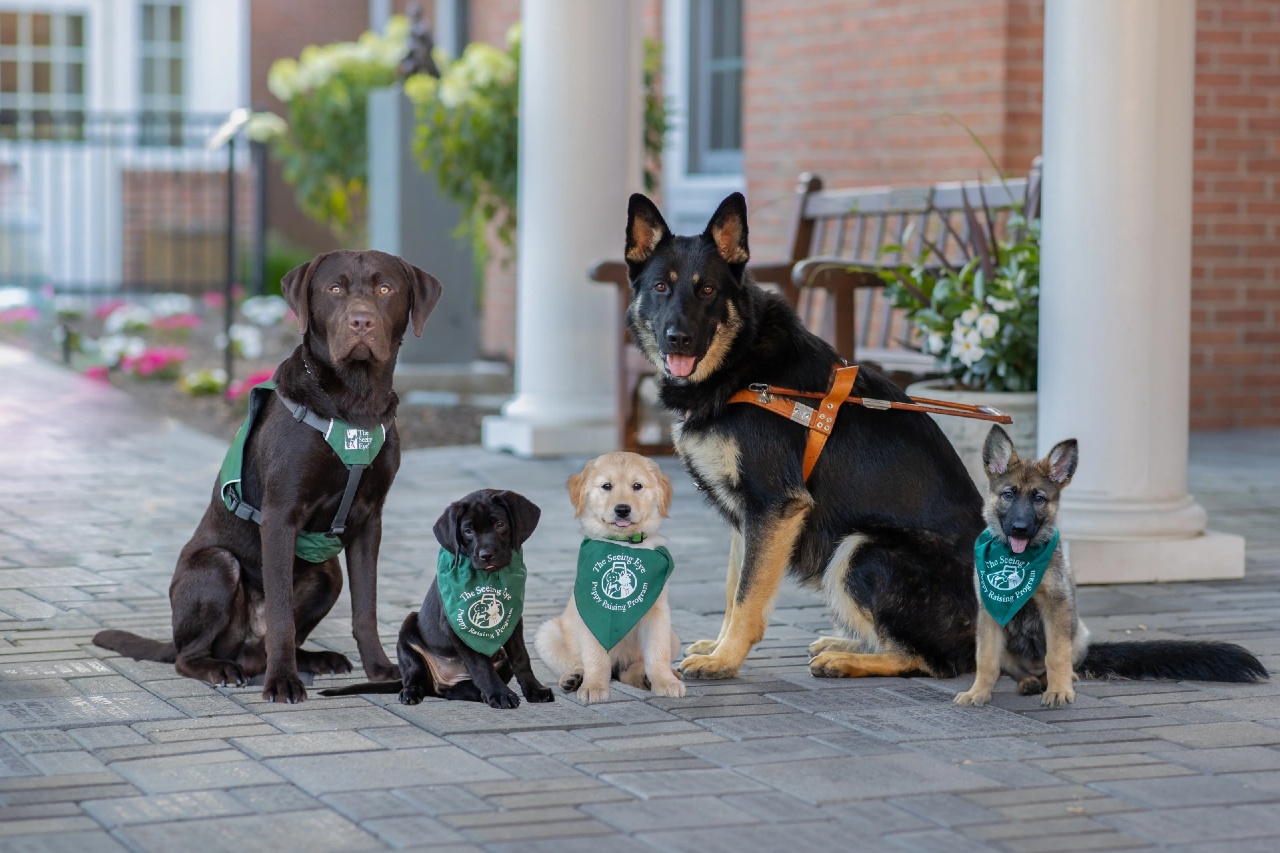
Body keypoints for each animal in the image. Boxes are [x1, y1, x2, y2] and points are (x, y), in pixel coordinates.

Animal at [94, 249, 445, 701]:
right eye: (335, 289)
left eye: (386, 289)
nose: (361, 321)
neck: (355, 402)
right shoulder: (281, 515)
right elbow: (281, 613)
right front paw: (282, 681)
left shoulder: (370, 519)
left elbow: (365, 608)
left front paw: (381, 670)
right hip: (217, 565)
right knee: (189, 654)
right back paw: (222, 668)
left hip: (327, 575)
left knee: (275, 640)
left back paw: (315, 659)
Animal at [320, 489, 550, 706]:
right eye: (468, 531)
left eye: (500, 524)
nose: (486, 555)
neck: (490, 579)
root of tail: (440, 681)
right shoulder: (456, 626)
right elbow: (480, 664)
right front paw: (499, 694)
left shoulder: (513, 620)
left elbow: (521, 658)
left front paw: (534, 690)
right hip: (408, 633)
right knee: (416, 678)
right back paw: (412, 692)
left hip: (500, 657)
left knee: (456, 690)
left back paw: (474, 692)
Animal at [532, 448, 686, 701]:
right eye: (607, 486)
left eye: (637, 486)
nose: (622, 509)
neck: (623, 546)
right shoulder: (592, 614)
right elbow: (595, 656)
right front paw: (594, 686)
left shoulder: (658, 614)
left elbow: (657, 653)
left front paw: (665, 681)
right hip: (547, 634)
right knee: (574, 661)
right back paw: (573, 678)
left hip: (673, 635)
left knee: (630, 670)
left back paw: (647, 677)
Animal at [957, 425, 1264, 701]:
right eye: (1008, 495)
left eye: (1038, 499)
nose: (1019, 529)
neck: (1017, 561)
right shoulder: (988, 615)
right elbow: (987, 660)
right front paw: (978, 693)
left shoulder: (1056, 607)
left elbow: (1056, 656)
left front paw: (1059, 691)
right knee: (1016, 670)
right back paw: (1028, 682)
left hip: (1078, 634)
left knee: (1061, 664)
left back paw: (1063, 680)